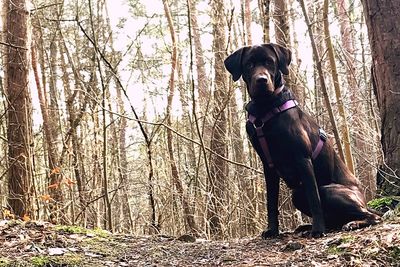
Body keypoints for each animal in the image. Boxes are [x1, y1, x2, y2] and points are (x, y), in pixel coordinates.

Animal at [225, 43, 382, 239]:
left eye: (269, 62)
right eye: (249, 64)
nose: (262, 80)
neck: (265, 107)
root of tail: (363, 198)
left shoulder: (303, 159)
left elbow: (314, 198)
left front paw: (318, 230)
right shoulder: (268, 166)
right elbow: (271, 202)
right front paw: (273, 230)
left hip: (330, 191)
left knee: (373, 216)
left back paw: (350, 223)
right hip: (297, 196)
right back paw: (309, 226)